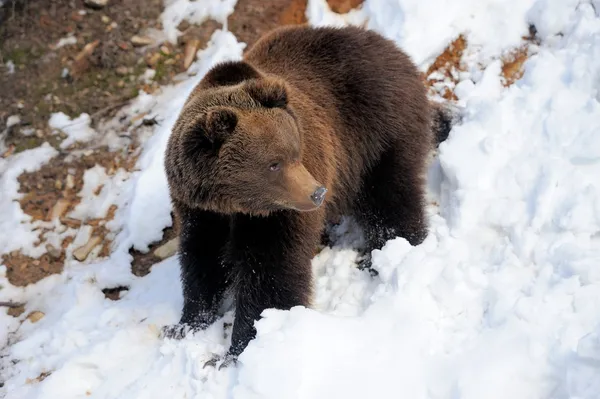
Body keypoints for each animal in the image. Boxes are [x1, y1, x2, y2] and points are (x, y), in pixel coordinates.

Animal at [162, 25, 452, 368]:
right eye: (273, 163)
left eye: (295, 151)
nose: (317, 193)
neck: (233, 204)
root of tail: (395, 50)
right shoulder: (200, 211)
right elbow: (201, 259)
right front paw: (186, 324)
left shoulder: (278, 212)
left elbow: (272, 272)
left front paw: (240, 349)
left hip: (376, 131)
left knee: (390, 196)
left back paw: (389, 253)